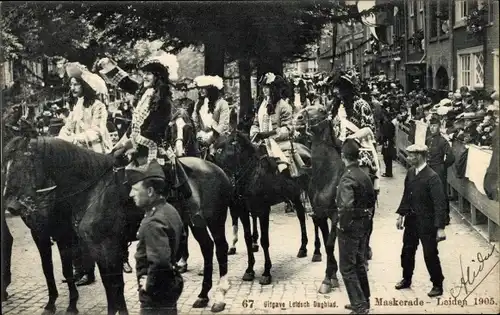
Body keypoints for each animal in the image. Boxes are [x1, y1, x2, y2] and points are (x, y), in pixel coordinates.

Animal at [2, 128, 234, 314]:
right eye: (6, 167)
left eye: (25, 164)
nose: (12, 206)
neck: (93, 190)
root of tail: (216, 168)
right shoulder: (93, 247)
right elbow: (110, 285)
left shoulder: (106, 246)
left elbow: (114, 285)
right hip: (196, 223)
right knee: (207, 248)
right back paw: (203, 295)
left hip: (216, 220)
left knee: (221, 249)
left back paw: (220, 298)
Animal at [213, 131, 314, 286]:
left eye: (230, 144)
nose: (212, 155)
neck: (252, 174)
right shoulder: (243, 212)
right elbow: (247, 239)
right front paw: (249, 270)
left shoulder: (263, 211)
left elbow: (264, 241)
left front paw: (266, 272)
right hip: (295, 194)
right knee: (301, 216)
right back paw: (303, 248)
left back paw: (313, 252)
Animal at [294, 105, 346, 294]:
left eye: (322, 110)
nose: (299, 118)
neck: (327, 177)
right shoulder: (321, 215)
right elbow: (326, 244)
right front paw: (331, 276)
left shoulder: (336, 215)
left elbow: (330, 245)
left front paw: (327, 279)